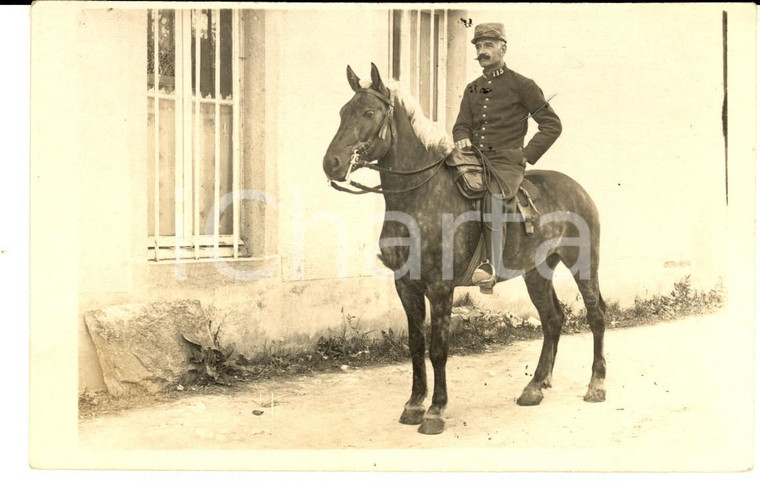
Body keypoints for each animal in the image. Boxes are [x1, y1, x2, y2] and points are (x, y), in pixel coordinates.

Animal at [320, 62, 604, 434]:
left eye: (368, 112)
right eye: (343, 112)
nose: (332, 163)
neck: (419, 196)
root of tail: (578, 189)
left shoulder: (441, 288)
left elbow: (438, 348)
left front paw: (436, 411)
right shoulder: (406, 286)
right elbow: (416, 345)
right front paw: (414, 404)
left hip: (583, 265)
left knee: (596, 315)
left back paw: (596, 385)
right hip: (535, 273)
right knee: (553, 318)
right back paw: (535, 386)